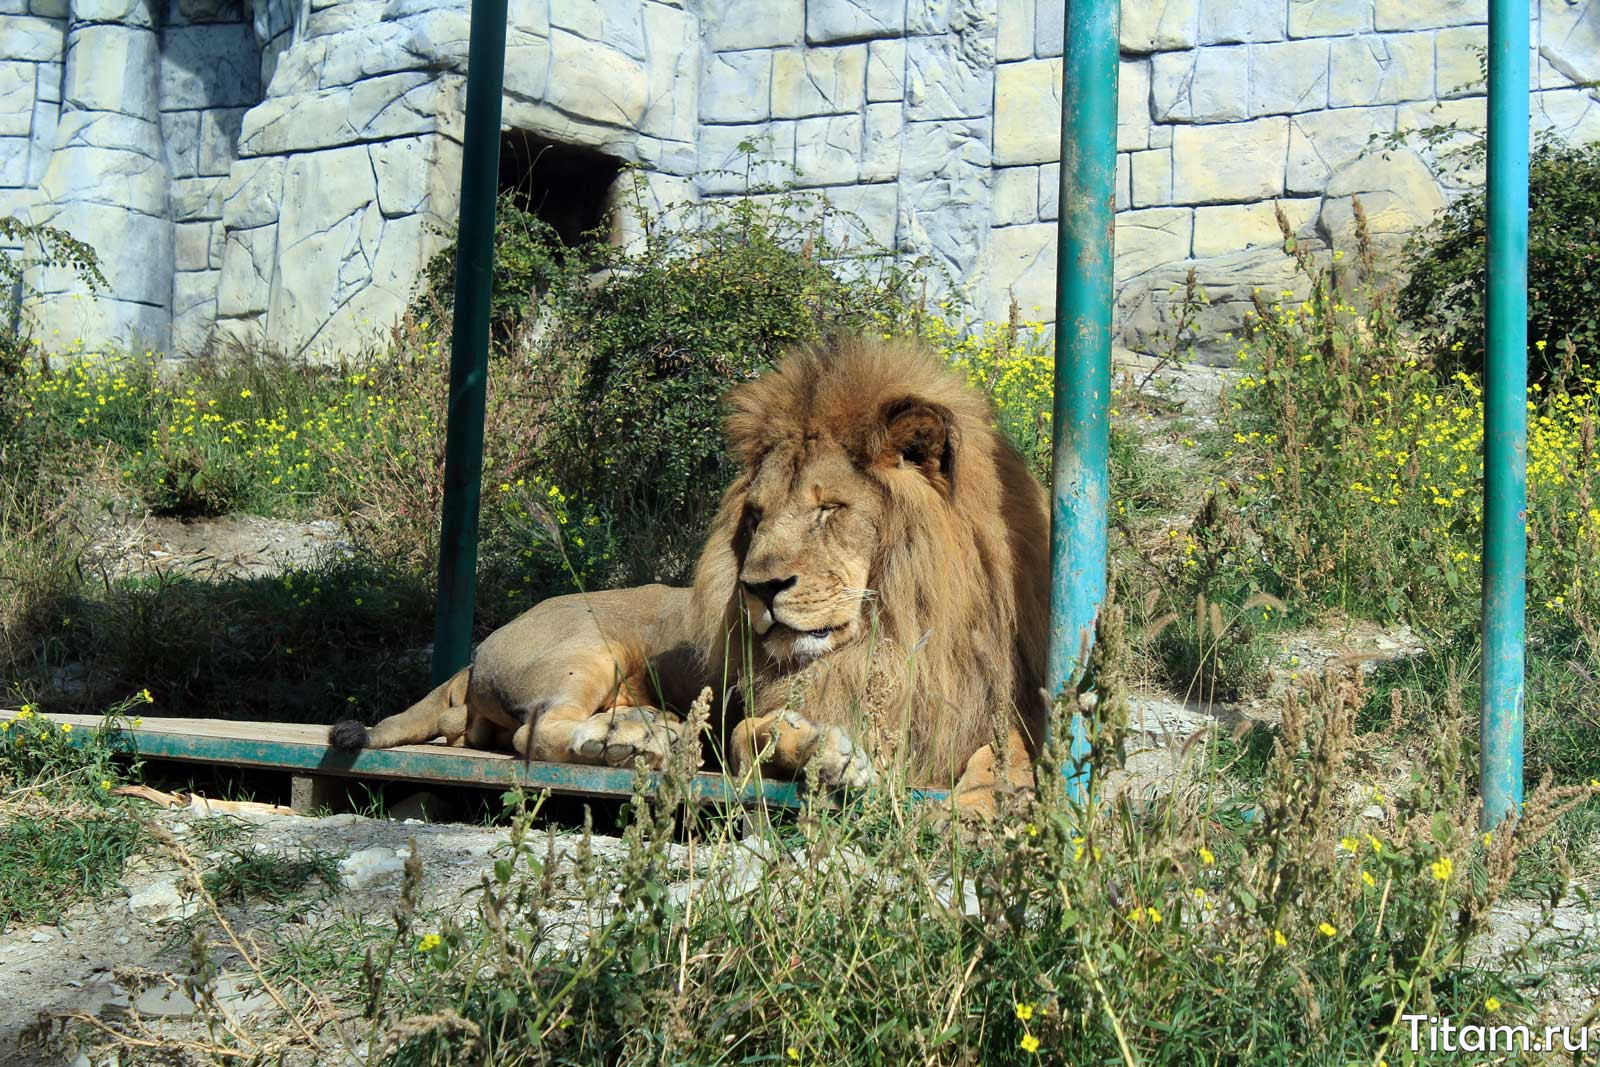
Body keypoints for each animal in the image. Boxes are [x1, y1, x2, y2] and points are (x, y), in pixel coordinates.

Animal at [328, 337, 1049, 812]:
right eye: (757, 515)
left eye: (828, 509)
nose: (758, 589)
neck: (895, 630)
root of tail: (474, 655)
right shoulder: (757, 715)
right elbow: (755, 733)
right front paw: (828, 754)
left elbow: (1007, 755)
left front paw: (990, 803)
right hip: (584, 647)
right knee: (541, 729)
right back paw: (630, 743)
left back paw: (645, 732)